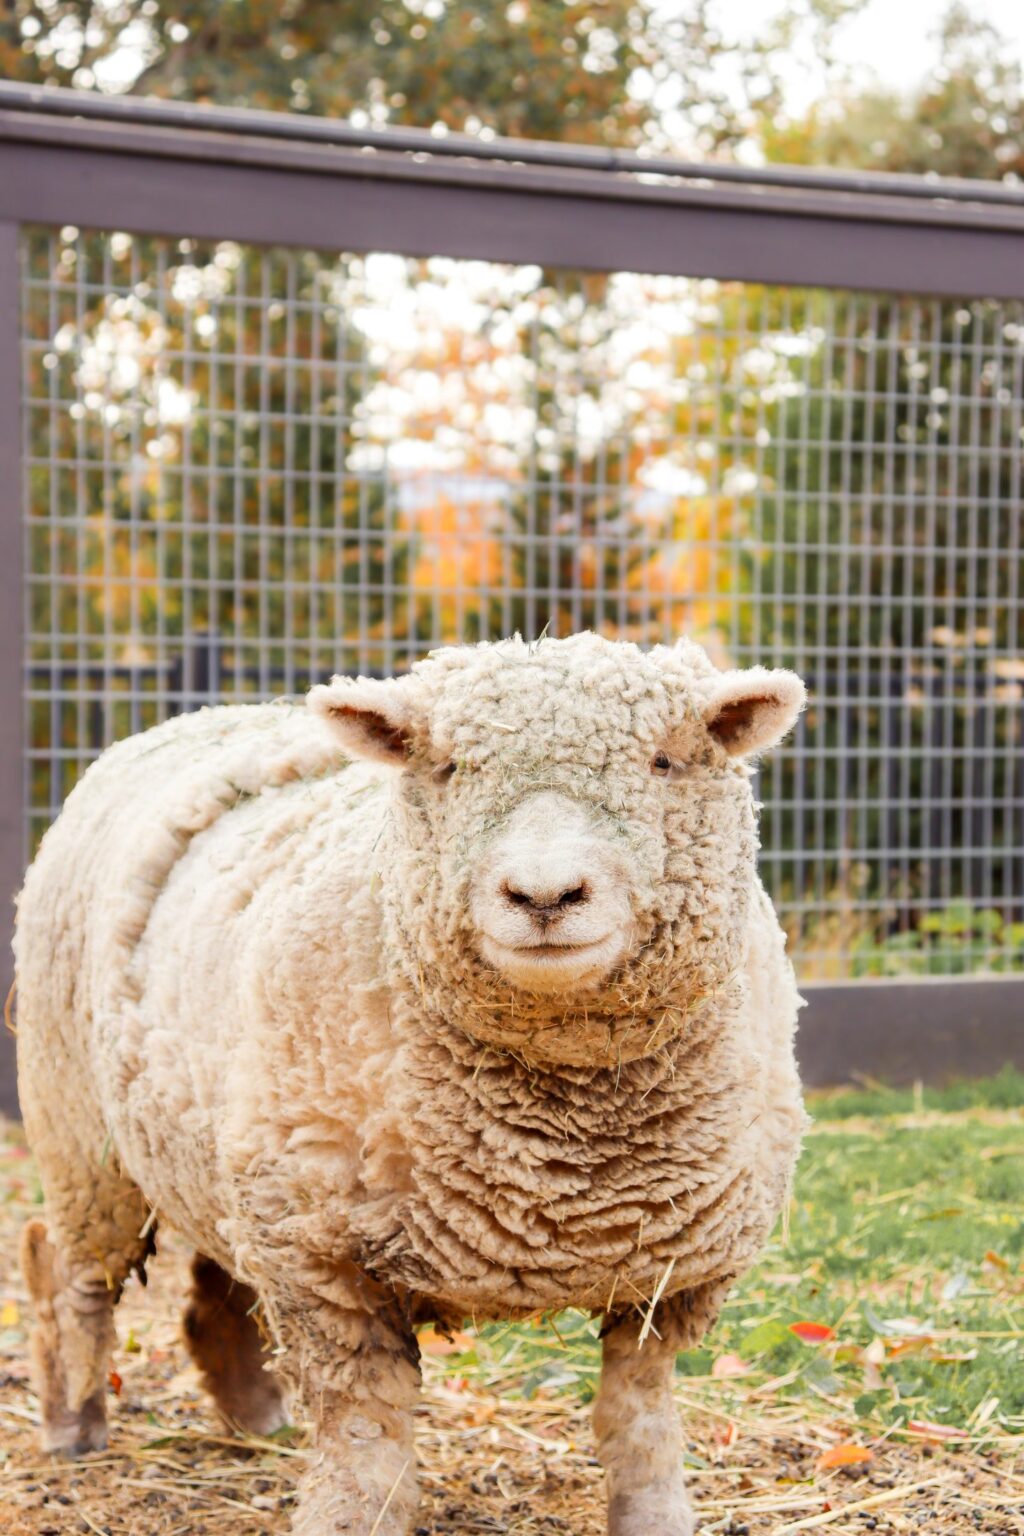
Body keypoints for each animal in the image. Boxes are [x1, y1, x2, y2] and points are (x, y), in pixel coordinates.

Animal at [15, 630, 808, 1536]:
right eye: (449, 767)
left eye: (666, 760)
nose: (544, 894)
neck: (566, 1147)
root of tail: (189, 717)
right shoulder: (322, 1260)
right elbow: (364, 1435)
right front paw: (348, 1517)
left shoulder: (677, 1271)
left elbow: (638, 1414)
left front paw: (655, 1513)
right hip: (83, 1132)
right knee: (70, 1276)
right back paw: (74, 1422)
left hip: (220, 1143)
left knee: (213, 1281)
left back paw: (253, 1413)